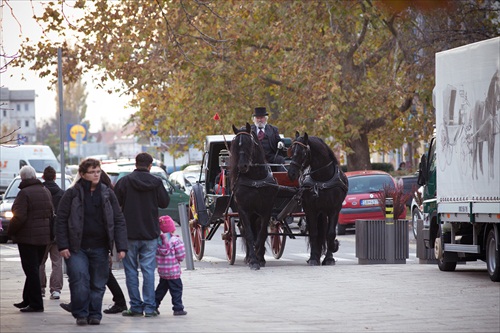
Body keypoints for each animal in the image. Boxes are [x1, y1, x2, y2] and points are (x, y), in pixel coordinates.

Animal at [229, 123, 278, 268]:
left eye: (249, 143)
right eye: (235, 144)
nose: (242, 166)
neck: (256, 178)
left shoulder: (266, 209)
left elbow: (262, 233)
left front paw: (259, 257)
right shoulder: (244, 210)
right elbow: (249, 234)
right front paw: (253, 260)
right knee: (245, 231)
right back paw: (248, 257)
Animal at [286, 132, 348, 264]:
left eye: (303, 152)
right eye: (291, 150)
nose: (291, 173)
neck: (322, 179)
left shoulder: (334, 209)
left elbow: (330, 234)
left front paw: (331, 252)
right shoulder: (310, 209)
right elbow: (314, 233)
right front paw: (314, 258)